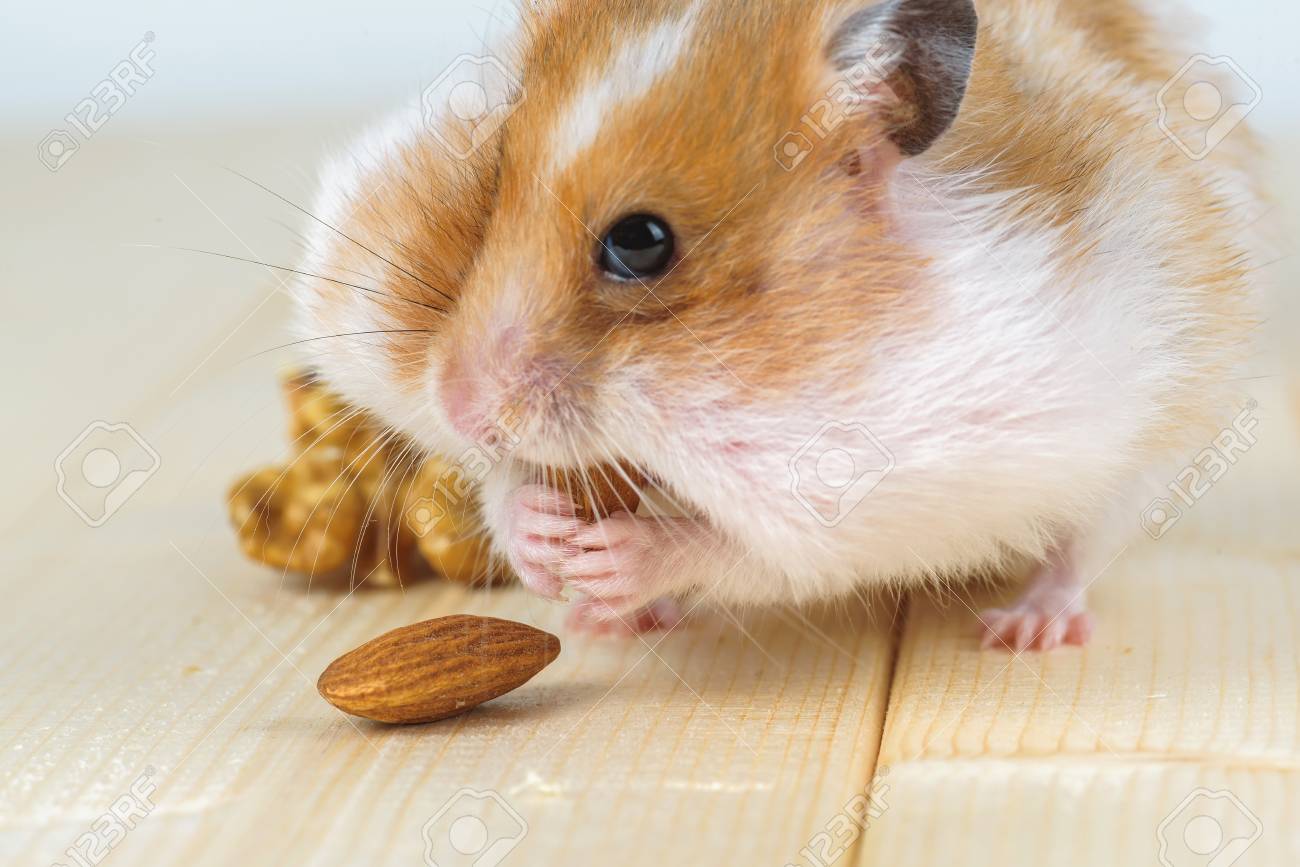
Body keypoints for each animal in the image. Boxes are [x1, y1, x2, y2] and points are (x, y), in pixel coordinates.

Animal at [291, 0, 1258, 649]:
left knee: (1080, 552)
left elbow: (740, 545)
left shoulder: (896, 489)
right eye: (488, 183)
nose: (459, 404)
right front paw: (542, 537)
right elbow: (503, 487)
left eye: (640, 243)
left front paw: (614, 558)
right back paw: (608, 620)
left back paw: (1023, 629)